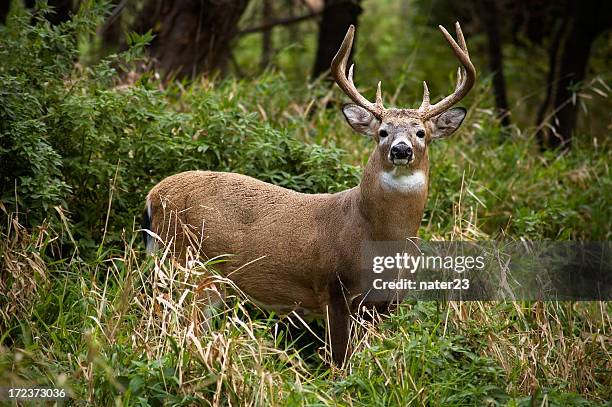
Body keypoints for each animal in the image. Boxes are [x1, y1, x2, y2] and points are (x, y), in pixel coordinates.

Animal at [142, 21, 474, 366]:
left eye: (421, 132)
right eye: (382, 131)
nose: (400, 149)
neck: (377, 235)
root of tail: (153, 196)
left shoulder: (389, 300)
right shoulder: (333, 287)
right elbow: (340, 360)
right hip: (184, 262)